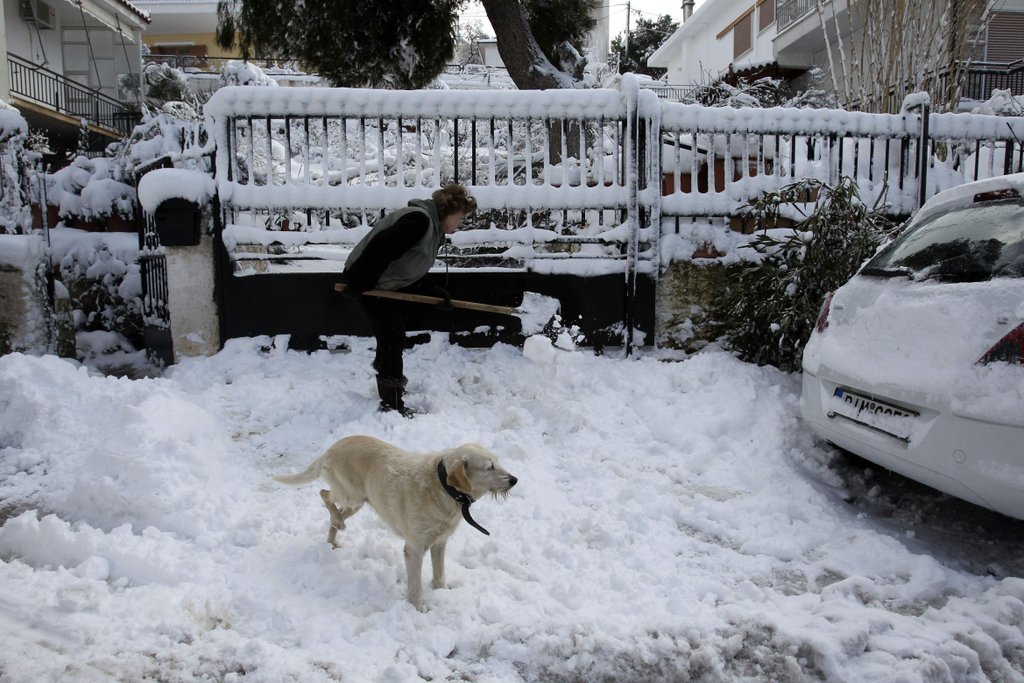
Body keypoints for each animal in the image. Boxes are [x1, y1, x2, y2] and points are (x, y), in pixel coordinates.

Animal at [274, 435, 517, 610]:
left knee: (332, 509)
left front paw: (442, 591)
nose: (515, 480)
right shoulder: (414, 549)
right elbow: (416, 586)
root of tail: (331, 449)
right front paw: (419, 608)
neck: (443, 488)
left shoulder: (439, 543)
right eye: (489, 467)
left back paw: (333, 539)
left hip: (358, 501)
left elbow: (439, 573)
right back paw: (338, 521)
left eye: (497, 462)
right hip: (351, 495)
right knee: (324, 494)